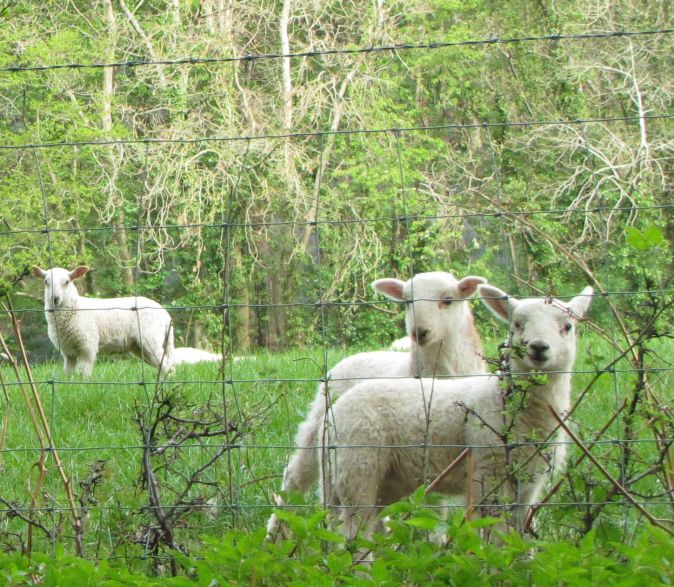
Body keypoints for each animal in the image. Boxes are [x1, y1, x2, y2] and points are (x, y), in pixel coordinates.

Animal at [32, 265, 175, 377]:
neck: (75, 308)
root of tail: (166, 315)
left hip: (151, 338)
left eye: (67, 282)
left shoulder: (88, 345)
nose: (54, 298)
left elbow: (84, 372)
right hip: (139, 346)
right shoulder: (68, 351)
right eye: (46, 282)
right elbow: (68, 373)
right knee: (163, 366)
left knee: (167, 365)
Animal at [266, 271, 488, 538]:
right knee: (297, 477)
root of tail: (355, 355)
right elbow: (434, 509)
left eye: (448, 300)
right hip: (324, 431)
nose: (419, 332)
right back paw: (275, 533)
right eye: (406, 302)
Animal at [318, 284, 593, 541]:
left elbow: (520, 534)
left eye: (568, 326)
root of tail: (336, 408)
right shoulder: (488, 471)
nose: (538, 347)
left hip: (375, 480)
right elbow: (497, 534)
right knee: (354, 532)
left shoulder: (529, 483)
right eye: (516, 325)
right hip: (357, 466)